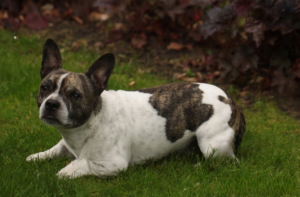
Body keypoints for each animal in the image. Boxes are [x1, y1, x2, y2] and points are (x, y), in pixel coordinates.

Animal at [25, 38, 246, 179]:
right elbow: (55, 148)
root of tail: (230, 99)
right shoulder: (66, 143)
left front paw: (65, 171)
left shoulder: (114, 164)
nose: (51, 103)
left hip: (212, 144)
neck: (89, 124)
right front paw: (37, 156)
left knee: (226, 161)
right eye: (44, 88)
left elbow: (82, 164)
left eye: (75, 95)